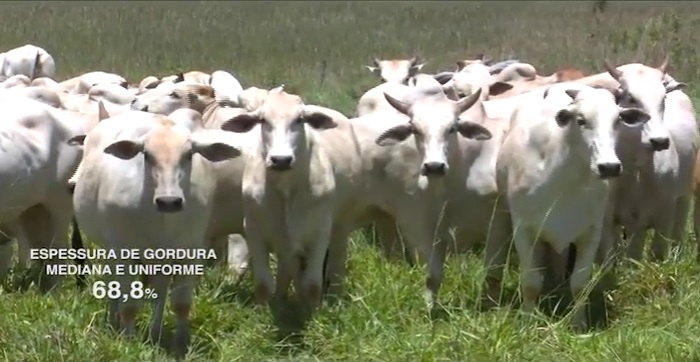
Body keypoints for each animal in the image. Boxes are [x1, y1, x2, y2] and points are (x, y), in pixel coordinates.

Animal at [69, 107, 242, 356]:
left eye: (189, 154)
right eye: (147, 155)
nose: (169, 201)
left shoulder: (189, 252)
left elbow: (181, 303)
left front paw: (181, 342)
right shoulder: (124, 252)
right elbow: (129, 304)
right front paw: (129, 341)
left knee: (159, 292)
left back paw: (155, 331)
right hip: (110, 249)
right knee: (113, 283)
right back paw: (115, 320)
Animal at [498, 86, 652, 330]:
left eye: (617, 120)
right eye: (581, 120)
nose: (609, 167)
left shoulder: (590, 233)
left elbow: (580, 283)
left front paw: (579, 324)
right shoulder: (523, 230)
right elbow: (531, 282)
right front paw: (527, 322)